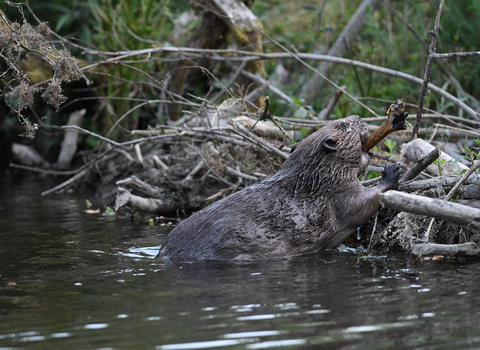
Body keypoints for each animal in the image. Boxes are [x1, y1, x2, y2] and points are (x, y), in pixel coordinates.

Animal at [158, 115, 402, 260]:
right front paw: (391, 171)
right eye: (344, 125)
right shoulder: (337, 189)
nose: (358, 117)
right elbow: (361, 205)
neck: (313, 175)